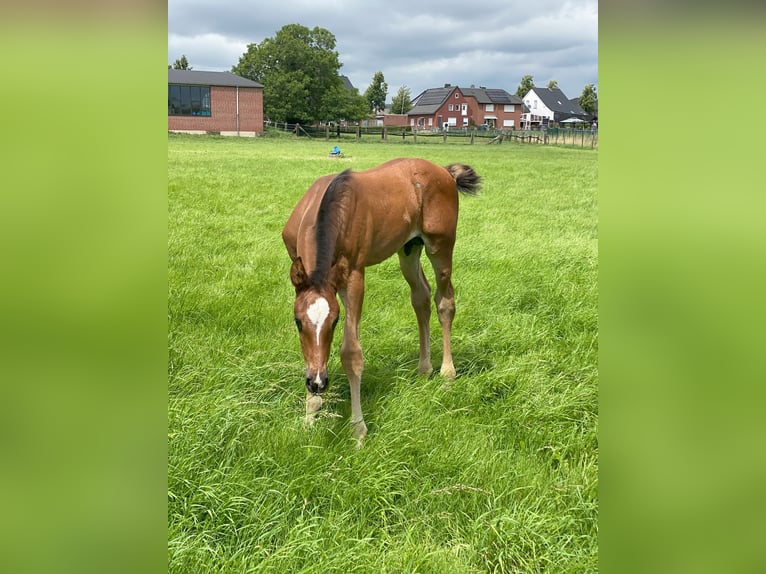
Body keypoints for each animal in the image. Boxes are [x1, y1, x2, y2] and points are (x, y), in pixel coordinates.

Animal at [284, 160, 480, 448]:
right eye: (298, 322)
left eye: (335, 321)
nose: (318, 382)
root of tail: (444, 171)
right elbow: (309, 352)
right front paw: (310, 417)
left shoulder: (354, 276)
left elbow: (351, 353)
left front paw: (358, 431)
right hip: (409, 248)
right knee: (421, 297)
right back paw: (424, 369)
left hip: (440, 245)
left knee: (445, 302)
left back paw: (447, 374)